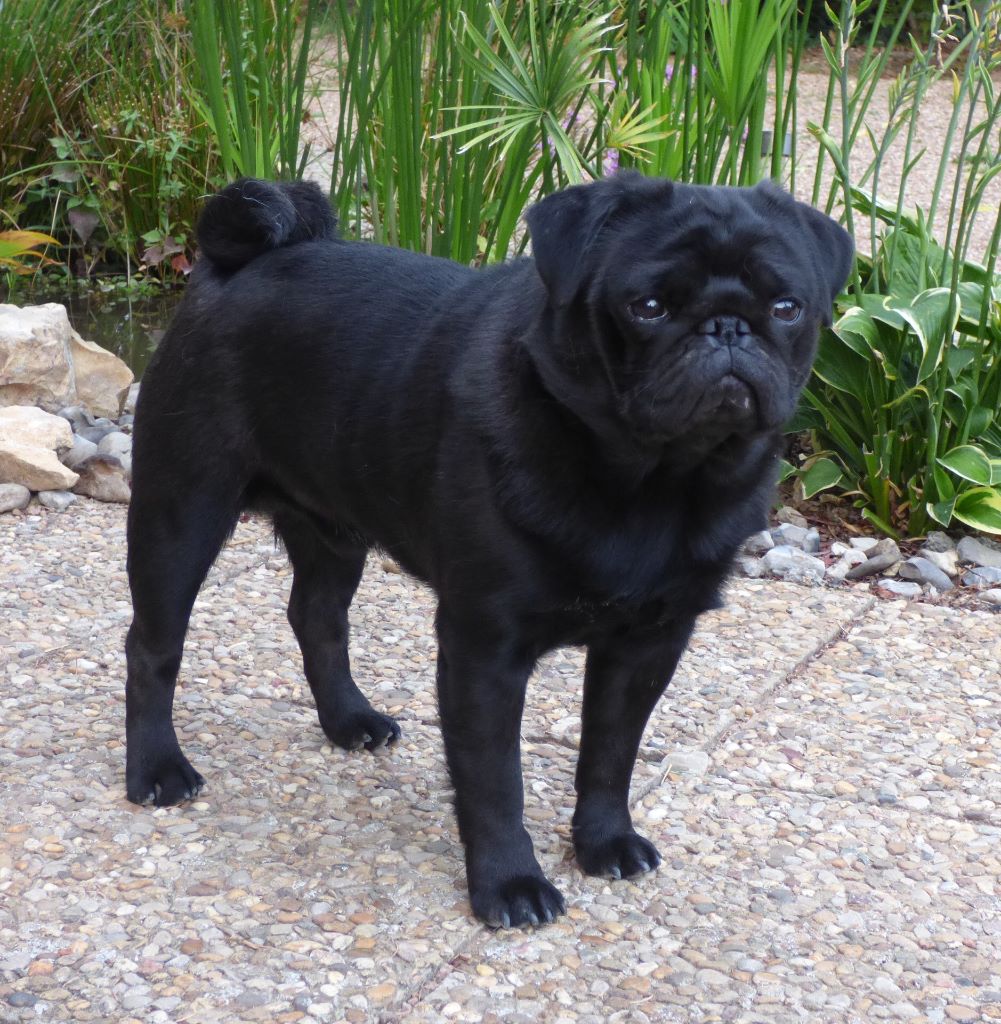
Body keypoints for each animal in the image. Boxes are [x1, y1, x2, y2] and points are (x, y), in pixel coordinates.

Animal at [124, 172, 853, 928]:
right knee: (153, 646)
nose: (727, 326)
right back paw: (156, 769)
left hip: (333, 527)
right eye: (647, 307)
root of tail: (229, 268)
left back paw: (348, 720)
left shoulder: (648, 644)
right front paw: (509, 883)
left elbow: (609, 754)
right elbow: (493, 778)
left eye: (787, 308)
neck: (653, 484)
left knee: (317, 617)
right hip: (182, 511)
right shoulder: (485, 649)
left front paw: (603, 841)